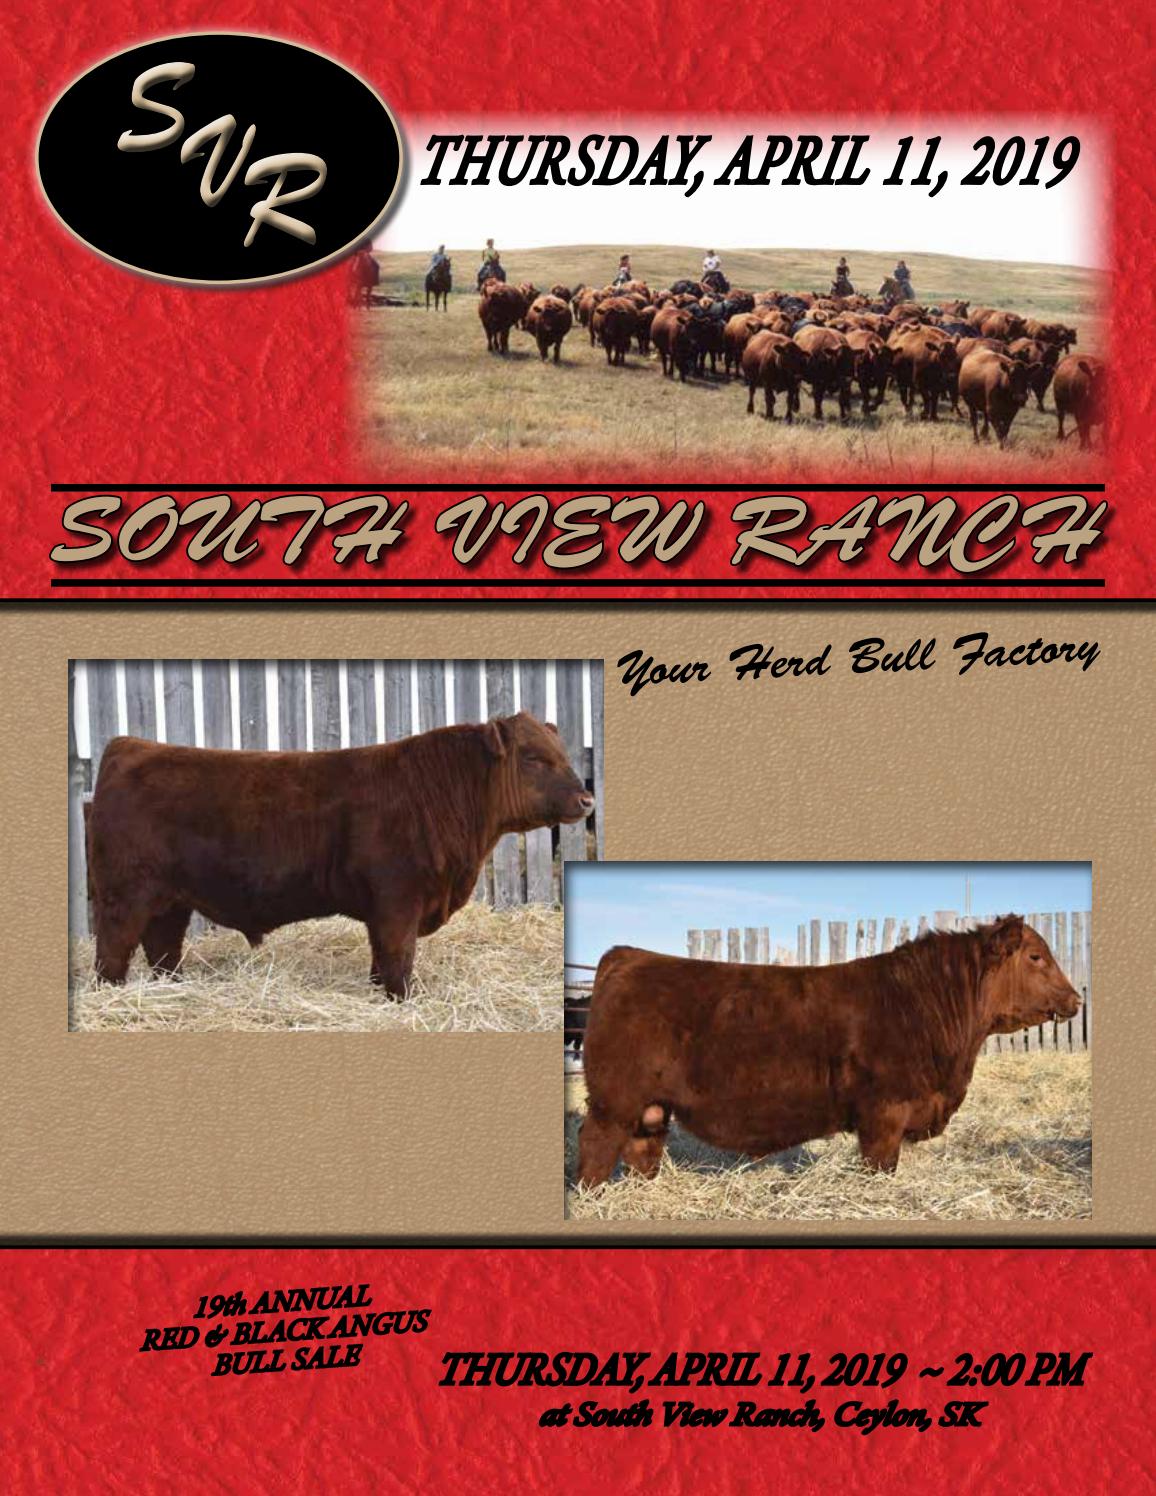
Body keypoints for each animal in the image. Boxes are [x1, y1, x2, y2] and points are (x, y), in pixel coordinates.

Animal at [88, 714, 594, 998]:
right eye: (532, 758)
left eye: (562, 752)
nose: (587, 800)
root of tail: (130, 745)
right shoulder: (397, 900)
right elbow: (398, 956)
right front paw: (403, 999)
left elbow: (381, 958)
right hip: (123, 895)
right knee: (113, 951)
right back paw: (112, 994)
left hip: (171, 900)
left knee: (163, 949)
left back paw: (170, 990)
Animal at [575, 917, 1080, 1185]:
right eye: (1036, 957)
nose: (1076, 998)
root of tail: (630, 955)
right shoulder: (885, 1112)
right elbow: (880, 1166)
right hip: (613, 1101)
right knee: (595, 1147)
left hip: (650, 1108)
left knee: (643, 1150)